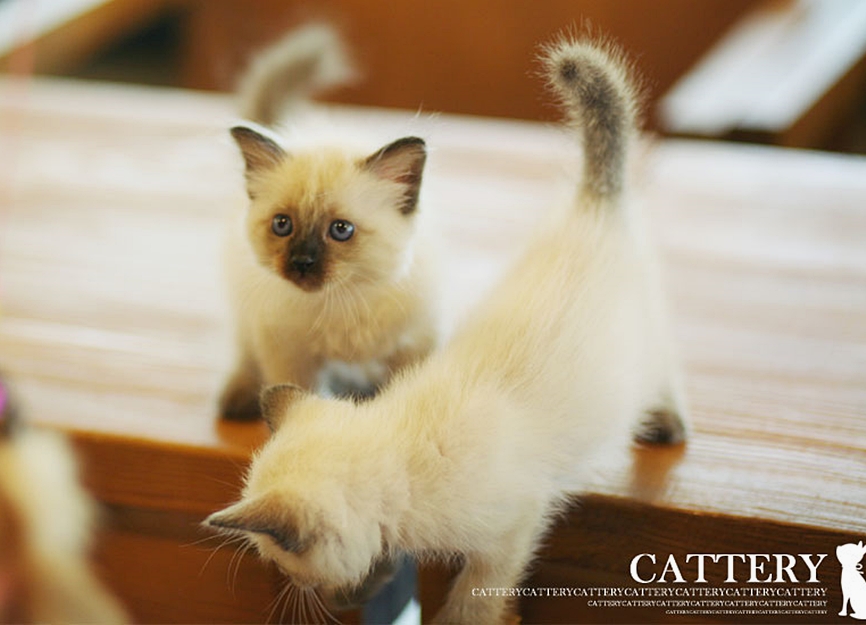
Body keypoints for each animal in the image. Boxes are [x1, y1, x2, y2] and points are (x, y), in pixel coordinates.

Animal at [220, 24, 440, 420]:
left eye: (341, 230)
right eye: (282, 225)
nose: (301, 263)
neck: (341, 302)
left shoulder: (413, 346)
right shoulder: (289, 354)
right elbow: (296, 403)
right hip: (247, 313)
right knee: (246, 357)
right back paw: (238, 398)